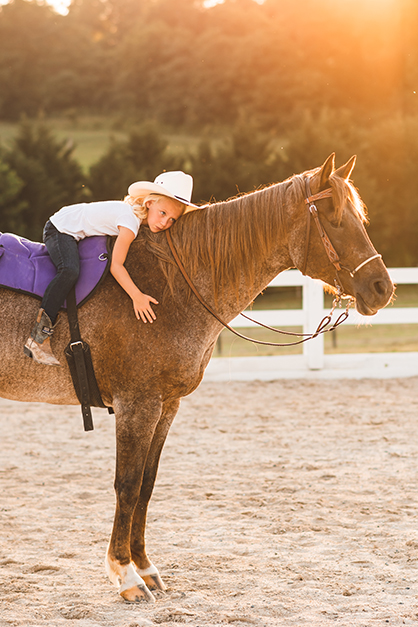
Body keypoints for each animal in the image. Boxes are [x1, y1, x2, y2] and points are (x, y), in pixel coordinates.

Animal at [0, 153, 394, 604]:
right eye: (335, 219)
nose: (382, 288)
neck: (170, 285)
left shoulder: (166, 405)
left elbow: (147, 485)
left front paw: (145, 567)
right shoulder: (137, 405)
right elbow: (127, 484)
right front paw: (126, 575)